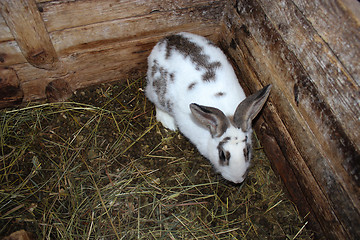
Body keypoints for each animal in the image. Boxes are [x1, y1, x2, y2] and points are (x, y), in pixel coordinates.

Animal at [145, 31, 272, 183]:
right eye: (222, 155)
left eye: (246, 151)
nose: (237, 180)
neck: (227, 115)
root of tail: (164, 40)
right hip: (157, 91)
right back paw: (168, 122)